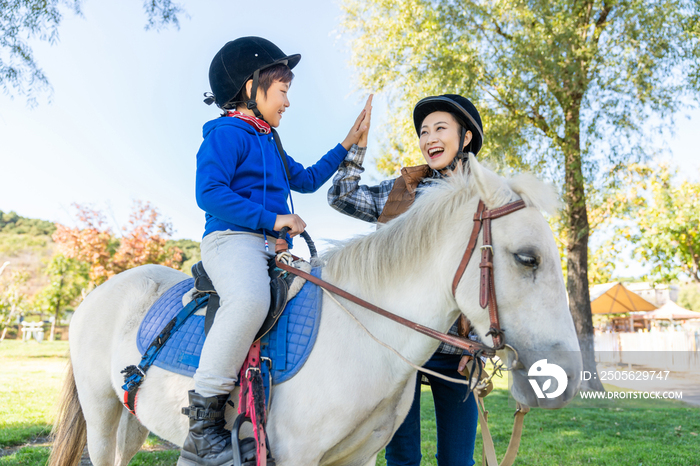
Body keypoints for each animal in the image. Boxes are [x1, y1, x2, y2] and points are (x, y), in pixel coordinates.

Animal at [49, 156, 584, 466]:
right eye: (527, 258)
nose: (563, 377)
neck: (360, 338)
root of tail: (98, 293)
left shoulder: (358, 459)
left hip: (132, 420)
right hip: (101, 415)